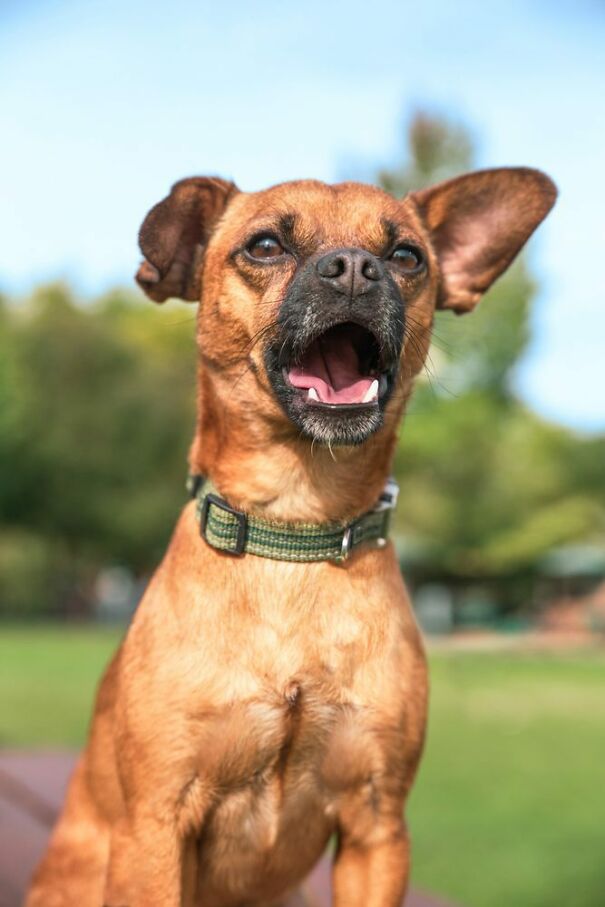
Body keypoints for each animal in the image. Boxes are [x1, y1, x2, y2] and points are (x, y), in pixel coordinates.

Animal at [27, 167, 556, 904]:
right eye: (266, 245)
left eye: (406, 256)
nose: (355, 268)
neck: (295, 532)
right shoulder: (154, 826)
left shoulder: (376, 829)